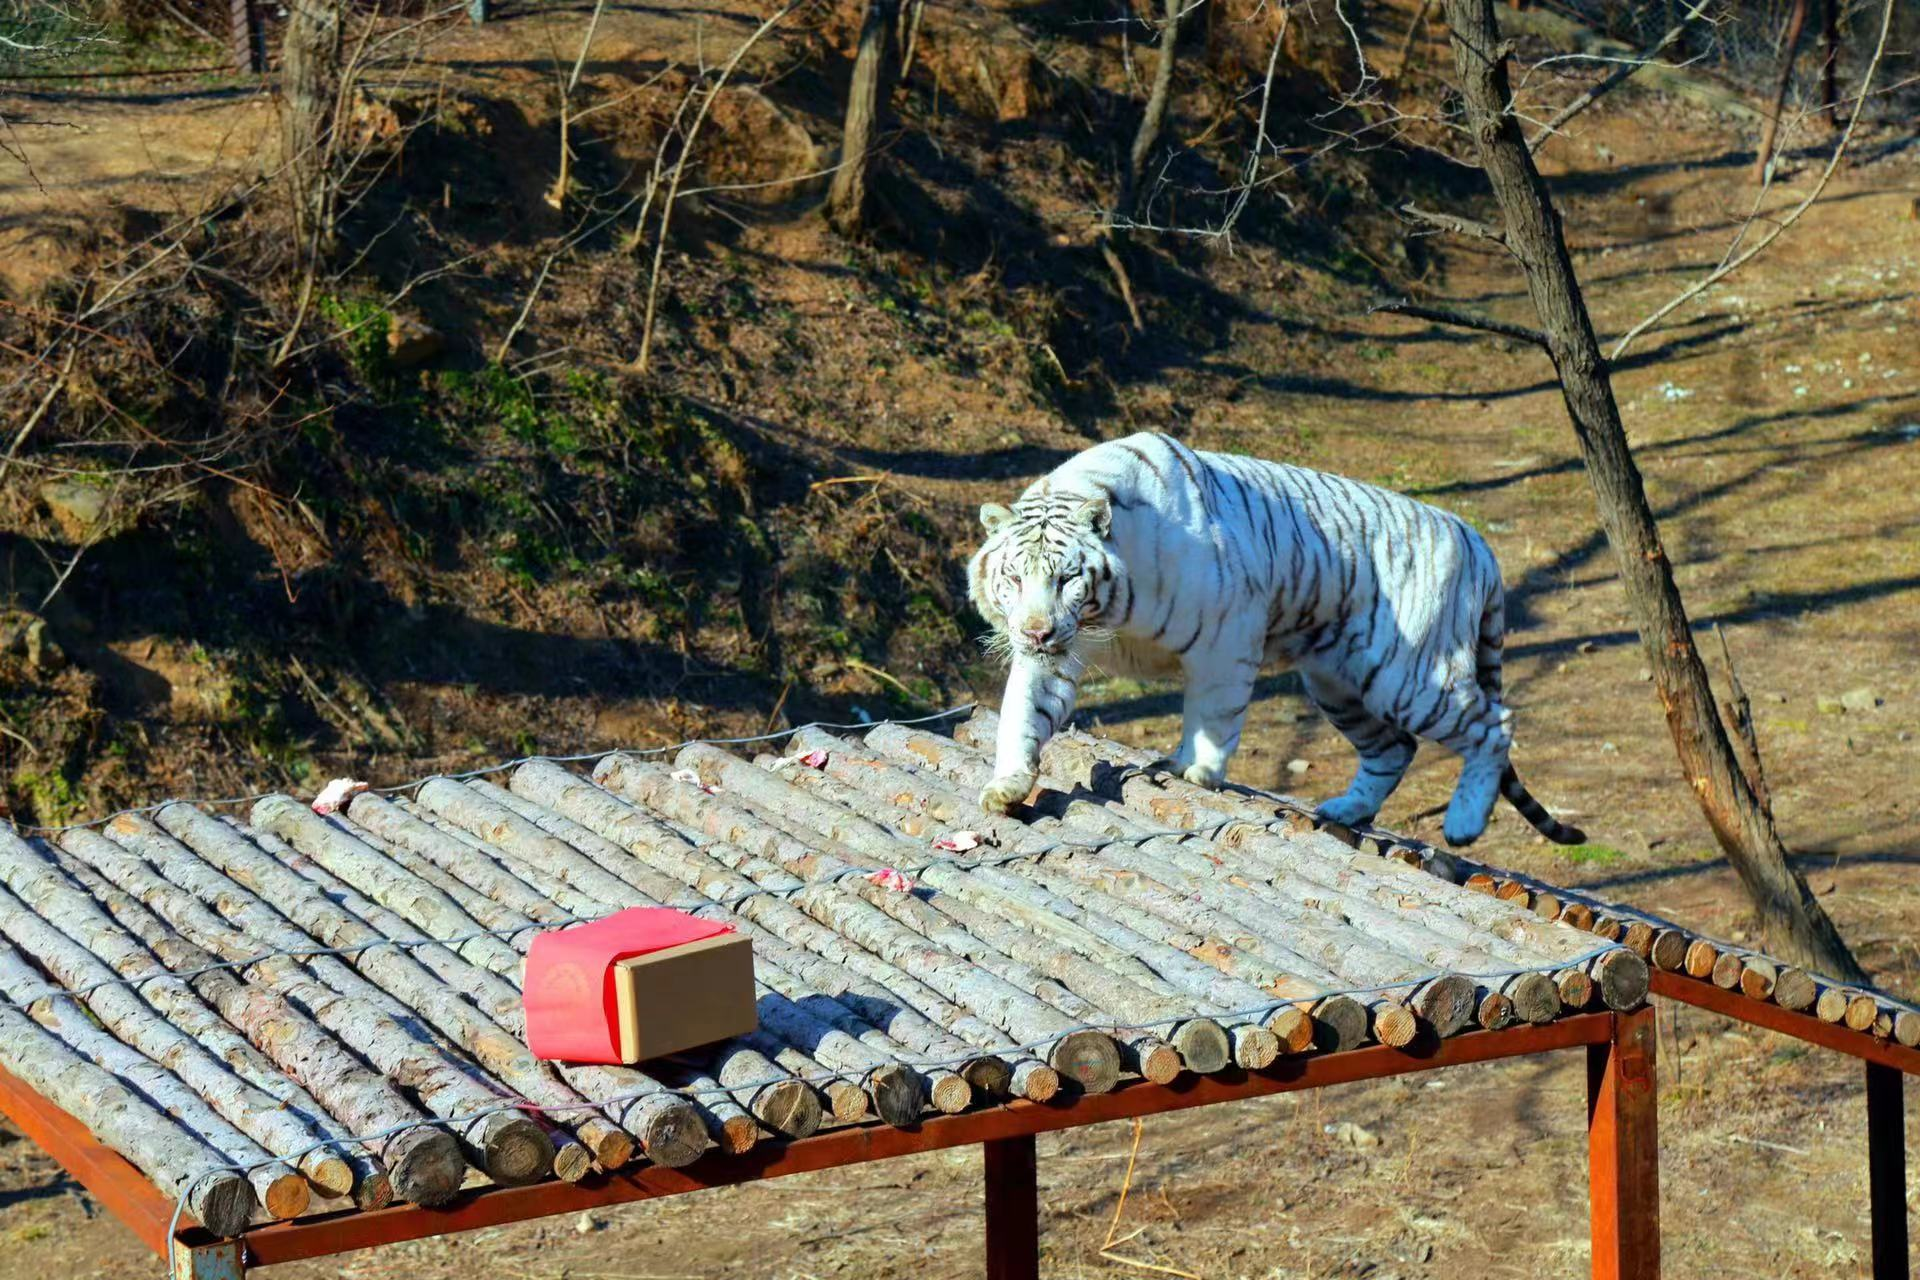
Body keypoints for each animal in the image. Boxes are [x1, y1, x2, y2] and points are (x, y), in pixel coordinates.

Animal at [967, 433, 1582, 852]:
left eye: (1068, 578)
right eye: (1015, 578)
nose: (1036, 630)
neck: (1105, 614)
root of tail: (1475, 540)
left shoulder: (1227, 633)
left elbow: (1212, 717)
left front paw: (1195, 770)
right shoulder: (1056, 656)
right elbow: (1022, 713)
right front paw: (1006, 785)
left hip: (1407, 676)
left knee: (1494, 724)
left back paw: (1463, 824)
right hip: (1340, 682)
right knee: (1394, 749)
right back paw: (1346, 809)